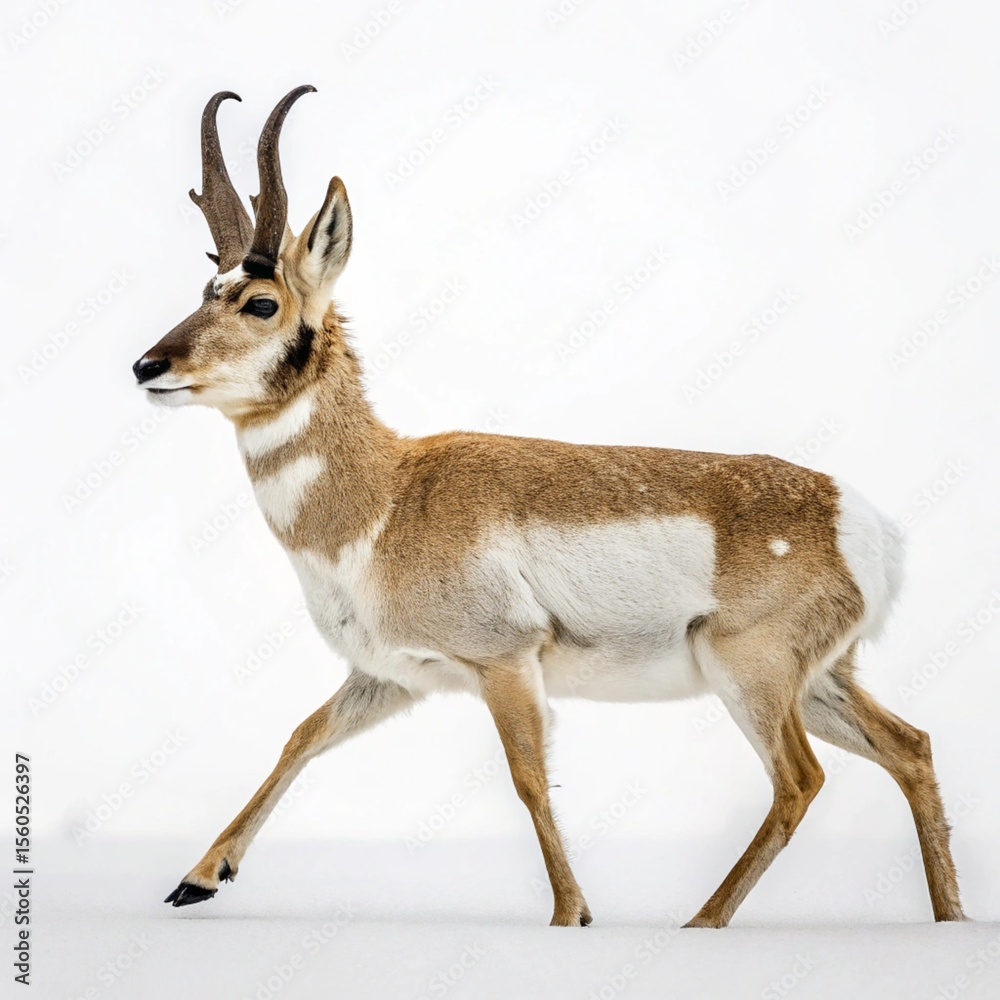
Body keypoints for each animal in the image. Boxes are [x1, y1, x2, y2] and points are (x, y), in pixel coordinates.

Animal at [135, 85, 965, 928]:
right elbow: (300, 736)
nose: (146, 365)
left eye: (260, 302)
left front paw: (572, 915)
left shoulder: (505, 664)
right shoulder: (391, 676)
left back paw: (702, 921)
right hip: (821, 680)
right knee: (911, 747)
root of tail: (854, 515)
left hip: (752, 672)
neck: (388, 494)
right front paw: (197, 877)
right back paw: (948, 918)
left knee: (800, 781)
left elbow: (528, 780)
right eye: (205, 292)